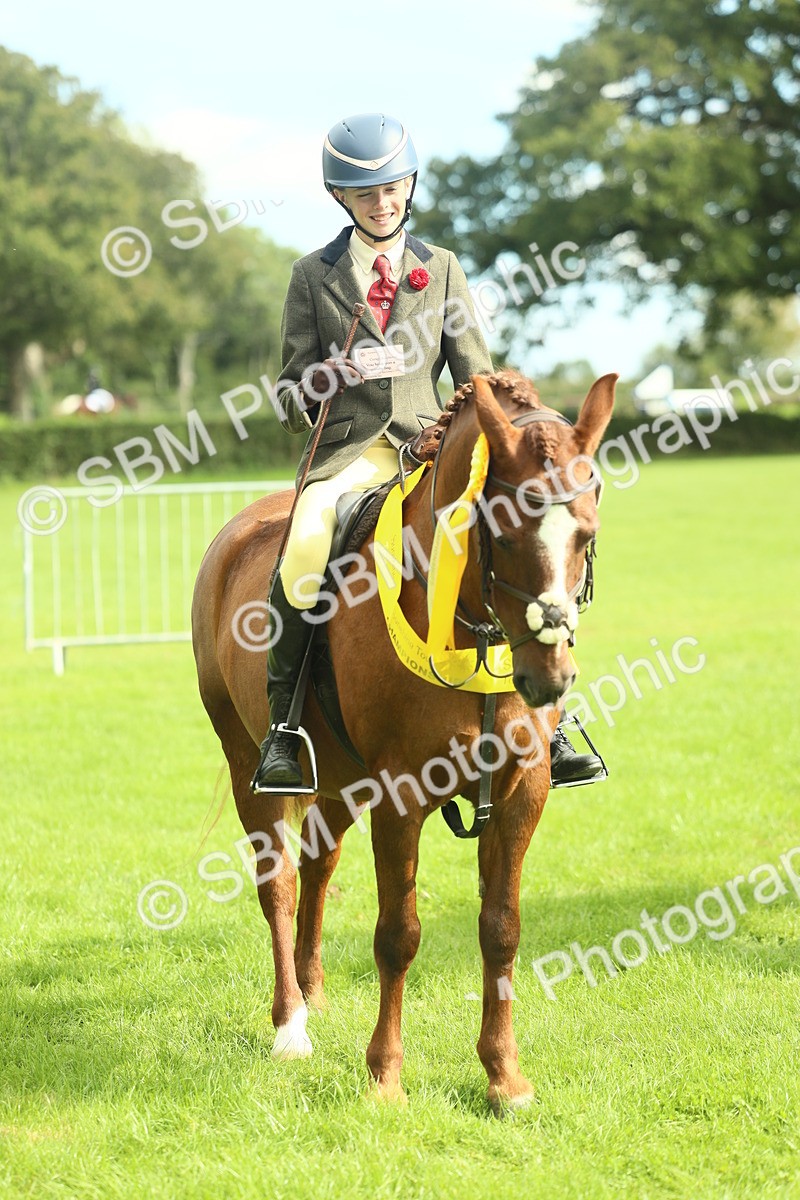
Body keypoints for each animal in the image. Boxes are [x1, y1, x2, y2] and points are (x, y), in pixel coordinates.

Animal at [191, 368, 616, 1113]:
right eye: (504, 534)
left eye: (585, 535)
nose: (550, 678)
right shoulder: (400, 794)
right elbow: (398, 935)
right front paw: (384, 1076)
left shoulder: (521, 791)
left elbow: (501, 927)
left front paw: (504, 1077)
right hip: (249, 762)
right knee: (279, 882)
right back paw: (290, 1026)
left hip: (338, 780)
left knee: (318, 866)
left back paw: (314, 994)